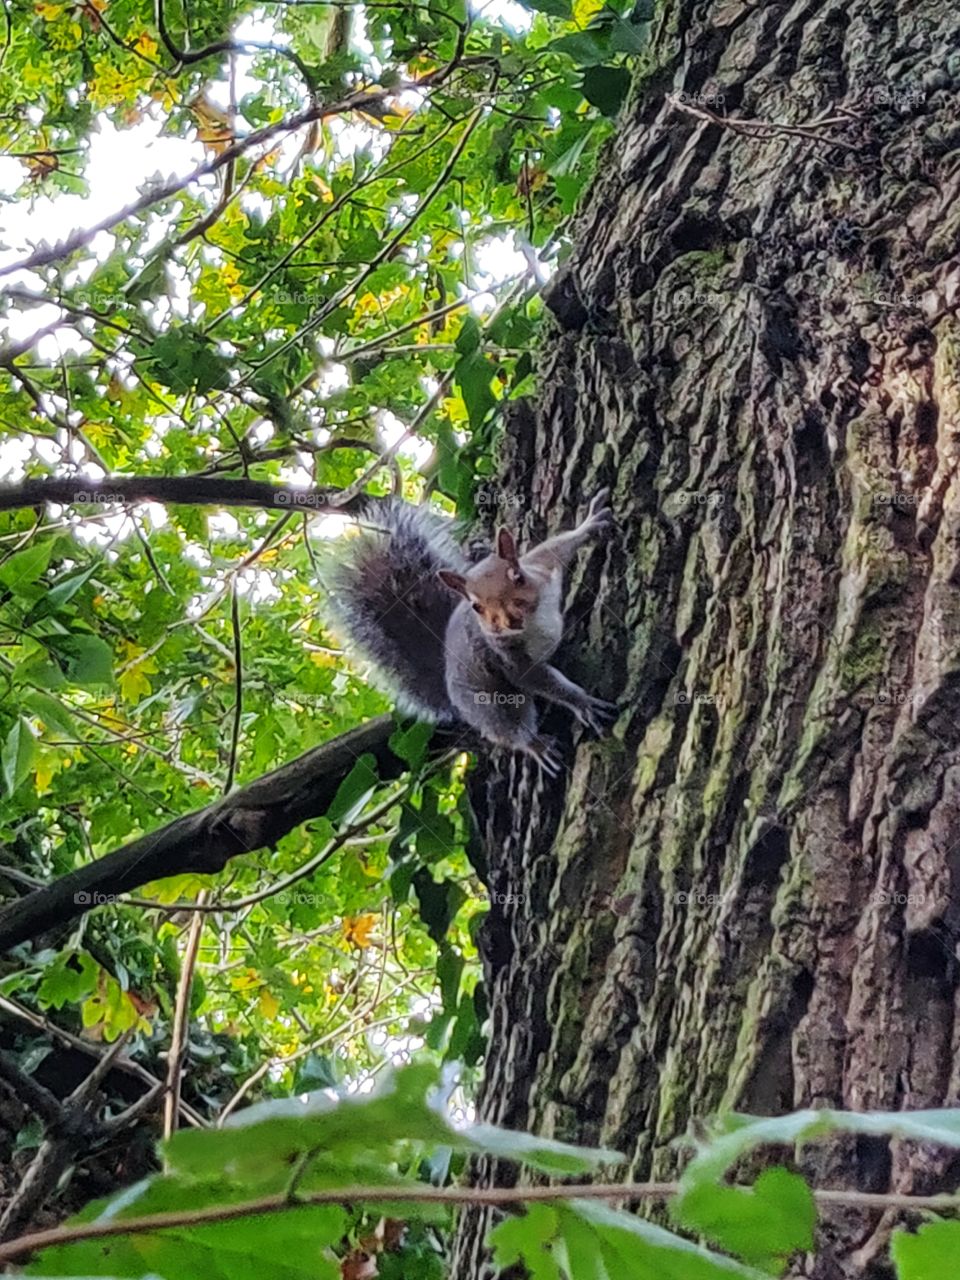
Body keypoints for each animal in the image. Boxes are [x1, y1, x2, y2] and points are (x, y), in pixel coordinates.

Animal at [327, 490, 616, 775]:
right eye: (476, 606)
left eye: (517, 576)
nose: (507, 622)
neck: (533, 620)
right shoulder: (507, 657)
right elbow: (536, 680)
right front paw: (582, 703)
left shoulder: (540, 566)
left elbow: (557, 547)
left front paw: (589, 524)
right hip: (490, 703)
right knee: (508, 728)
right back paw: (535, 745)